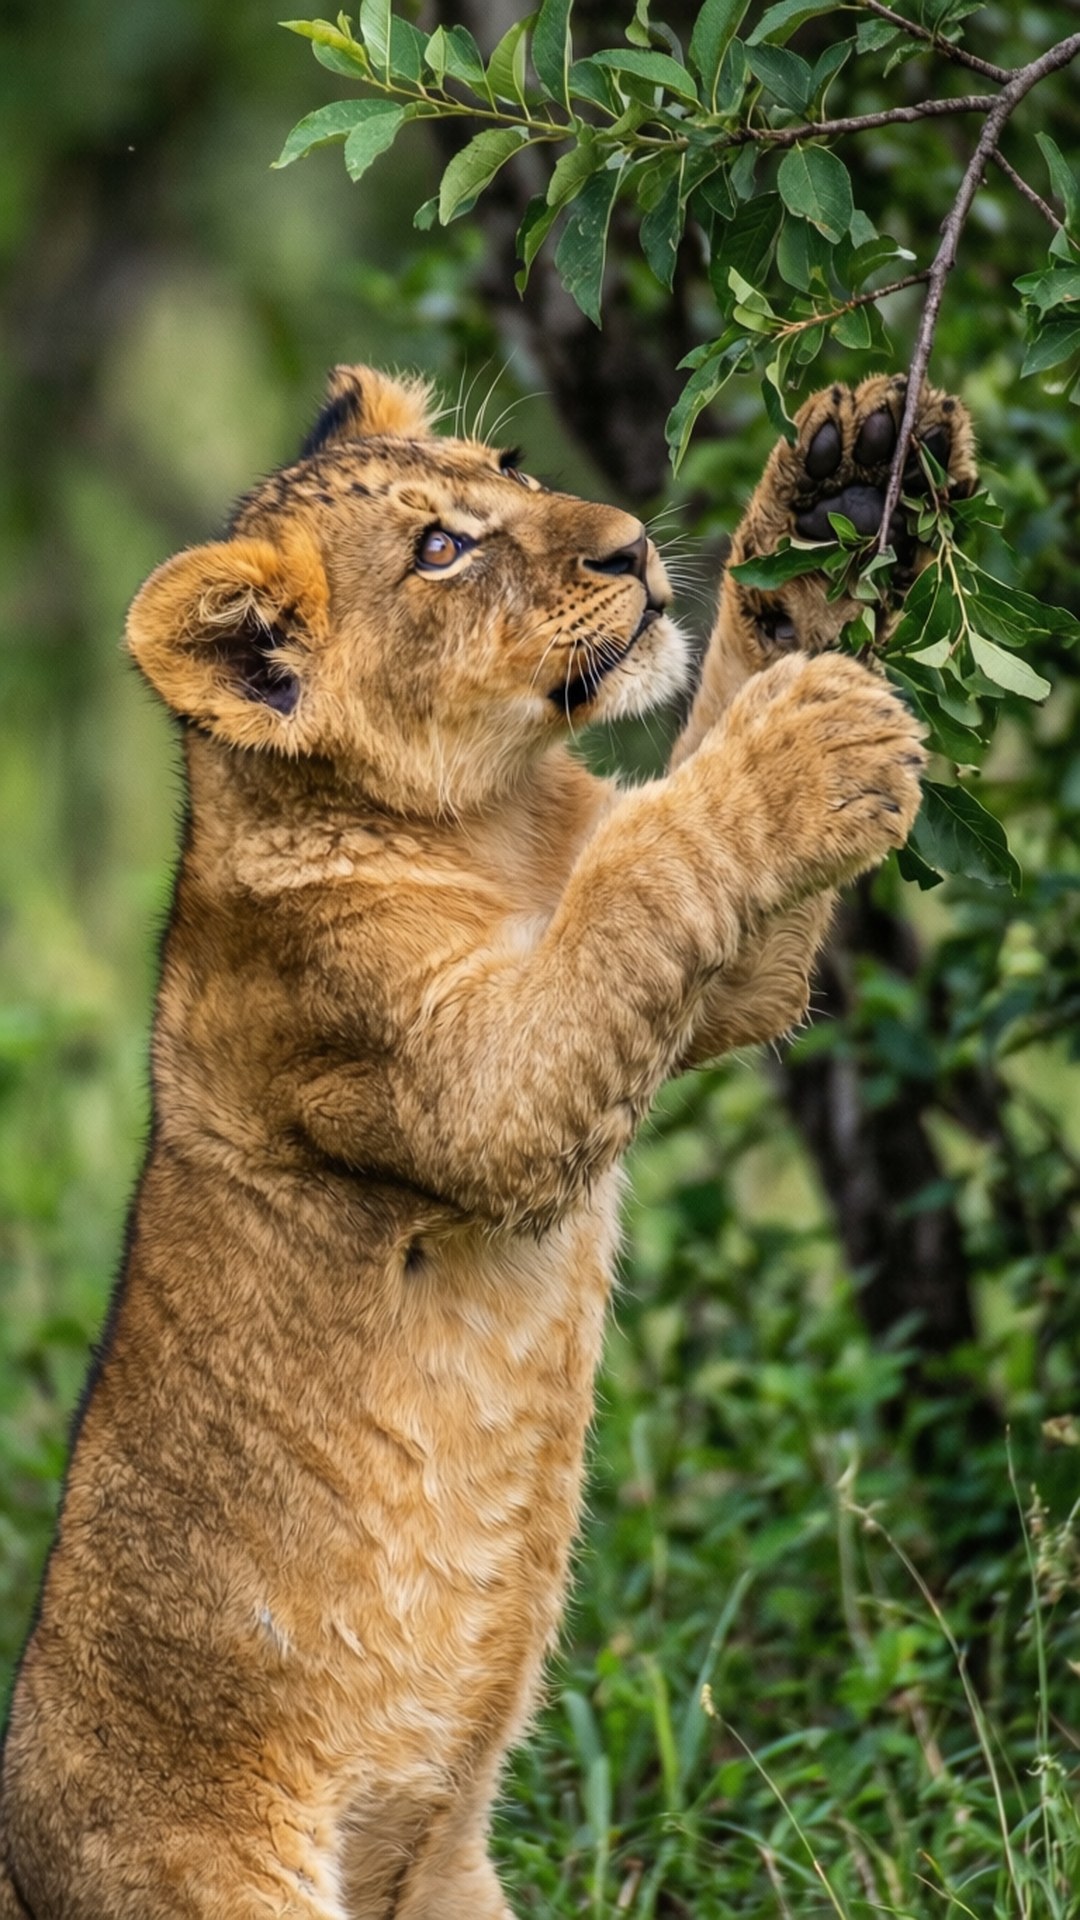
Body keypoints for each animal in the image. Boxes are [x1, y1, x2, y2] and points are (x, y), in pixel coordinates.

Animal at [0, 366, 974, 1917]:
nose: (630, 546)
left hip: (456, 1880)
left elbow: (697, 764)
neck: (496, 820)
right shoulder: (471, 1084)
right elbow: (658, 857)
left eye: (507, 466)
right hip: (214, 1874)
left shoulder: (702, 988)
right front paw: (809, 740)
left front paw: (843, 471)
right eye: (441, 551)